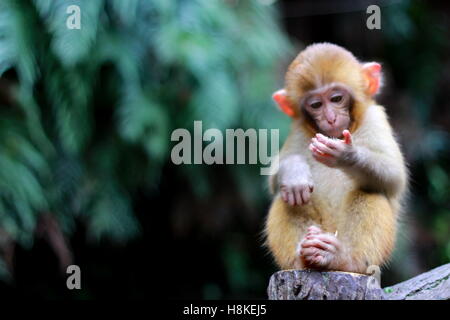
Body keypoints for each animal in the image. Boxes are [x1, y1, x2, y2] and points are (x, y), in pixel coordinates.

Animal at [264, 42, 408, 272]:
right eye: (316, 105)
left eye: (336, 99)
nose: (330, 118)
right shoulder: (298, 131)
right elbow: (274, 179)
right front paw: (295, 172)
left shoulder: (375, 119)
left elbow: (394, 177)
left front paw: (346, 155)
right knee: (287, 197)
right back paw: (304, 256)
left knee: (370, 191)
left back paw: (341, 257)